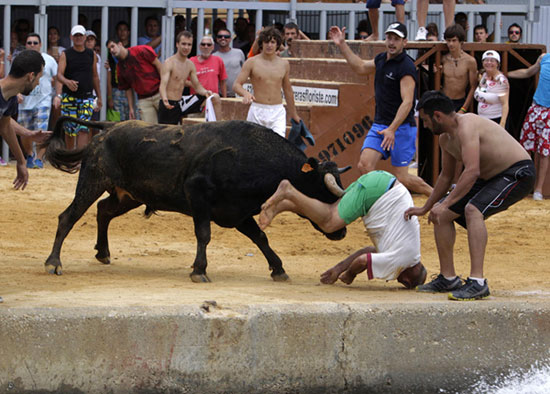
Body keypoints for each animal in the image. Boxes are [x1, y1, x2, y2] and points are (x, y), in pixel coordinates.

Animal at [42, 117, 350, 284]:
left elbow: (261, 238)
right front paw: (199, 270)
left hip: (127, 195)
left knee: (103, 210)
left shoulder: (237, 213)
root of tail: (108, 126)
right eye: (323, 192)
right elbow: (204, 234)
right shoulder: (198, 193)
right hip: (93, 180)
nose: (342, 231)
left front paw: (279, 269)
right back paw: (54, 262)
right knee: (68, 216)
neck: (252, 156)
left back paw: (103, 253)